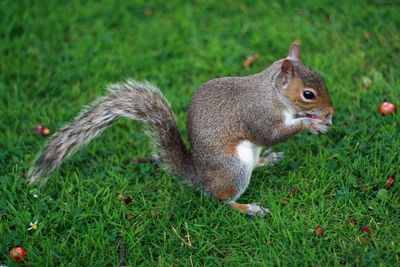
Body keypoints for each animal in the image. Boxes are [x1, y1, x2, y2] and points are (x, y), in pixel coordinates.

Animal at [28, 42, 334, 218]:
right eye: (308, 94)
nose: (330, 111)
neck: (273, 94)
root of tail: (200, 177)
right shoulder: (257, 116)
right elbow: (269, 135)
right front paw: (310, 123)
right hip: (233, 170)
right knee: (219, 200)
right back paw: (249, 208)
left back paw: (267, 161)